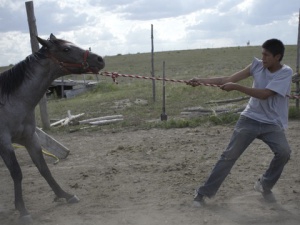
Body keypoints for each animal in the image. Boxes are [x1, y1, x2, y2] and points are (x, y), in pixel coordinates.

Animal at [0, 33, 105, 223]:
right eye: (66, 49)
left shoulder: (30, 138)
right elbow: (17, 173)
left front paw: (65, 195)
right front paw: (23, 211)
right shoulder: (4, 143)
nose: (100, 59)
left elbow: (44, 168)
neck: (11, 101)